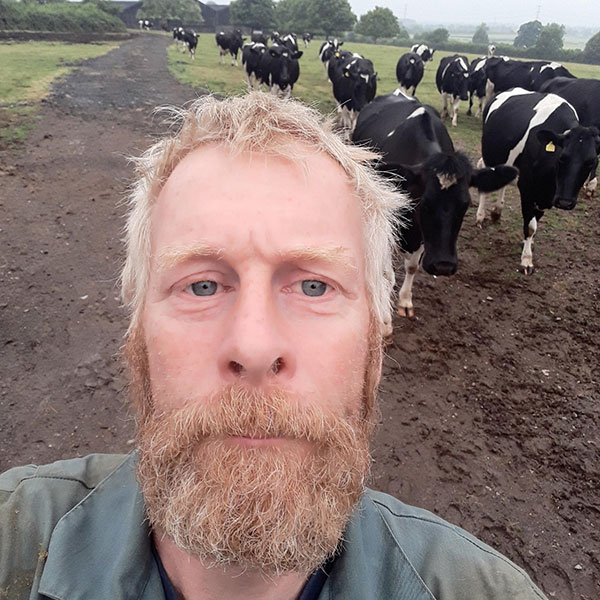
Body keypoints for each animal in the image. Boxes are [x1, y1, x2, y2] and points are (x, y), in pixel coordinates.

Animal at [354, 91, 516, 316]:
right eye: (425, 203)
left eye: (465, 205)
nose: (443, 266)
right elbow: (386, 274)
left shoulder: (423, 237)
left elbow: (412, 266)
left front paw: (405, 301)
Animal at [476, 88, 596, 274]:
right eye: (562, 158)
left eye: (591, 162)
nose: (565, 202)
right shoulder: (527, 187)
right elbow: (531, 226)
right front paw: (526, 260)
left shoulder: (545, 195)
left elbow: (535, 222)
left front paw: (528, 244)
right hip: (490, 155)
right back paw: (480, 217)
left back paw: (496, 212)